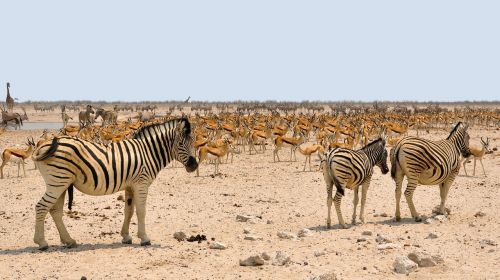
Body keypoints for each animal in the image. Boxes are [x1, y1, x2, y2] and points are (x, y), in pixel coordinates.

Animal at [29, 117, 199, 250]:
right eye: (181, 144)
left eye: (194, 142)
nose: (194, 165)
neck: (148, 152)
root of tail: (42, 145)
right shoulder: (141, 184)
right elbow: (141, 211)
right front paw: (144, 238)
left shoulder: (130, 186)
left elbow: (129, 211)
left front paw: (126, 237)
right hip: (58, 181)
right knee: (41, 207)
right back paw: (42, 243)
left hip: (61, 183)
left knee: (55, 211)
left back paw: (69, 241)